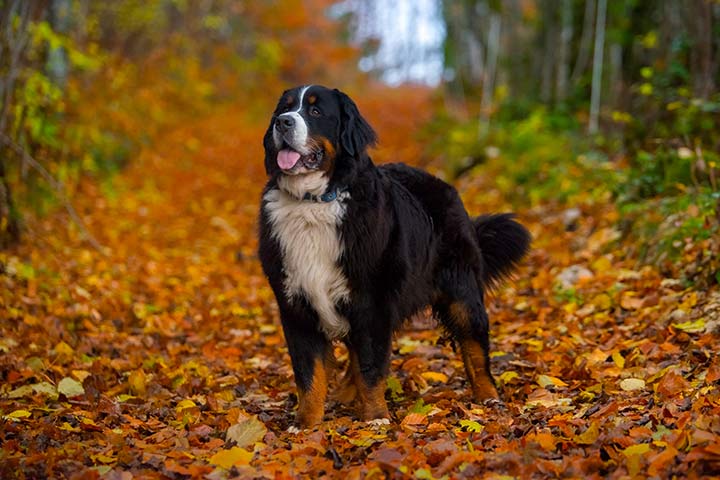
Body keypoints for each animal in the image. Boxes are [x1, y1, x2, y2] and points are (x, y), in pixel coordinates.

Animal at [258, 84, 528, 430]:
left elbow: (371, 368)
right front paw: (306, 423)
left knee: (475, 348)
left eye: (315, 111)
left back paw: (488, 397)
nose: (283, 123)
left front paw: (375, 418)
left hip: (462, 294)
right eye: (285, 109)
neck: (313, 203)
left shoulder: (371, 302)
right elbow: (310, 374)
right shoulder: (297, 305)